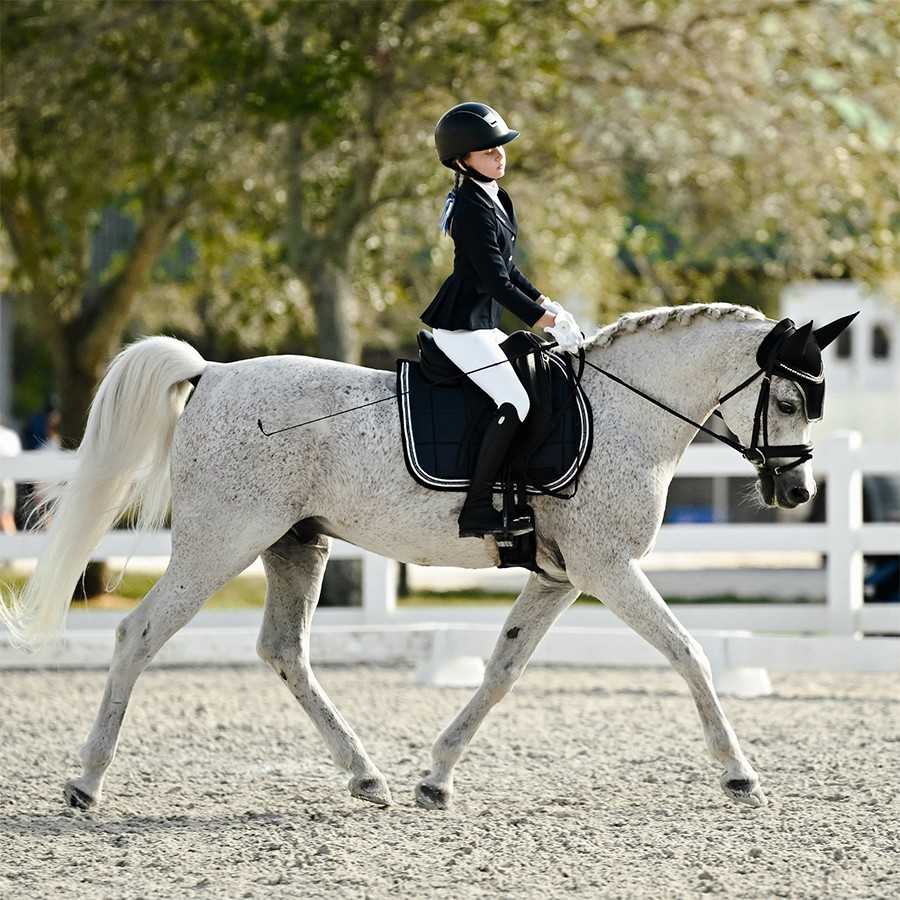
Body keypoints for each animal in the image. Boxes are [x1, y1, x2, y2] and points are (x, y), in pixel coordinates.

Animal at [1, 302, 825, 813]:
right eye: (788, 402)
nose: (797, 491)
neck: (626, 410)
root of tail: (215, 373)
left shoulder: (561, 578)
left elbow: (501, 670)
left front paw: (436, 777)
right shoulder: (608, 570)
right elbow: (689, 652)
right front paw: (739, 773)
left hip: (295, 544)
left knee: (284, 650)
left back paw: (367, 777)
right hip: (220, 542)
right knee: (139, 633)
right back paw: (85, 782)